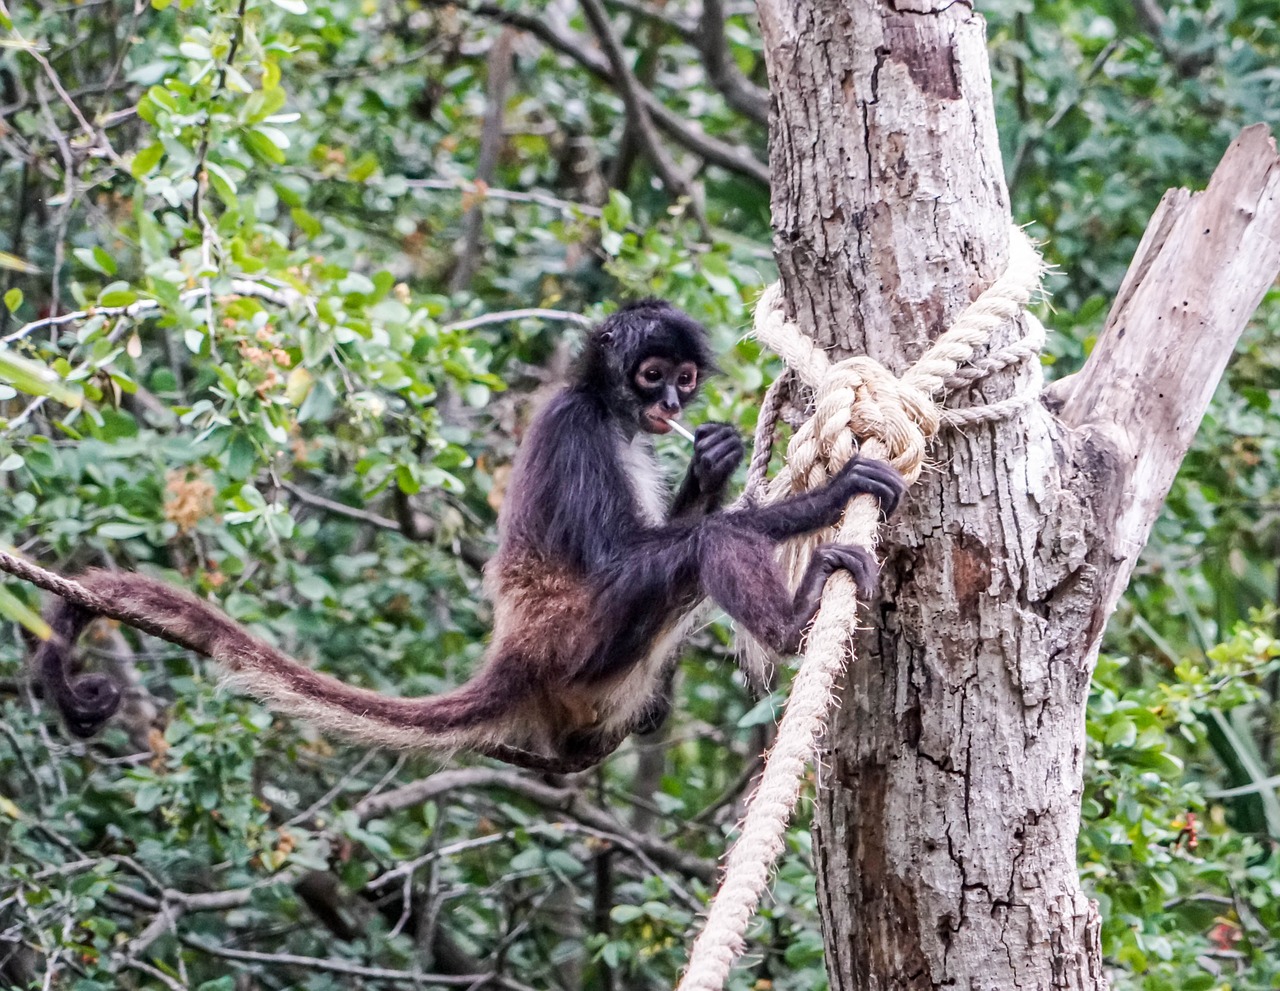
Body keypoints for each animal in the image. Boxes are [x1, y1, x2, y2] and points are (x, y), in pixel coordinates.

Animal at [35, 302, 906, 778]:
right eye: (651, 373)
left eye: (683, 381)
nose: (668, 405)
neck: (608, 408)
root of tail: (515, 651)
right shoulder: (576, 426)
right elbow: (634, 553)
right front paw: (825, 495)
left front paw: (712, 459)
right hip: (578, 641)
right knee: (701, 549)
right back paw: (795, 622)